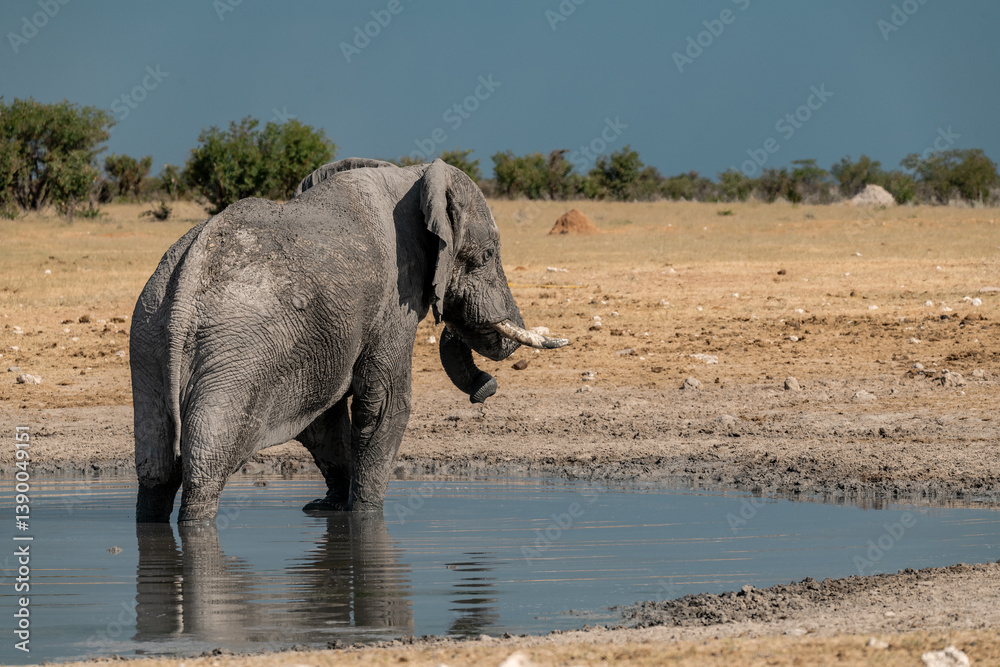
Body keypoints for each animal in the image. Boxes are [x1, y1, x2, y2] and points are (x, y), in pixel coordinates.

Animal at [130, 157, 568, 524]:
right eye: (489, 254)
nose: (484, 390)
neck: (411, 175)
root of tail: (184, 286)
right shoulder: (394, 299)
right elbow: (386, 404)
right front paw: (365, 515)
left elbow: (324, 417)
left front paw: (329, 509)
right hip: (236, 352)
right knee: (207, 464)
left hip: (149, 340)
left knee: (156, 467)